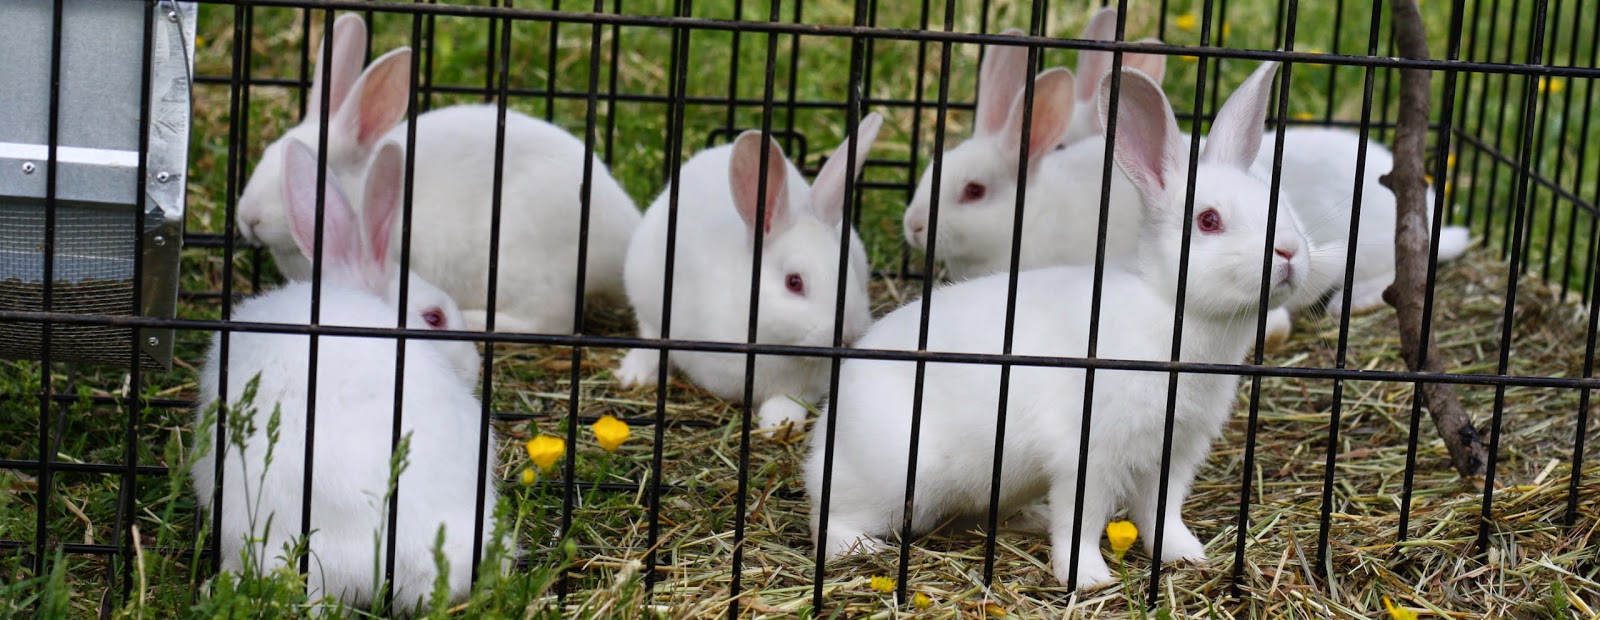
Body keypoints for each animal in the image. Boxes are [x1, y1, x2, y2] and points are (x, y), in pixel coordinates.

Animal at [615, 115, 882, 431]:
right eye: (794, 282)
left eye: (851, 271)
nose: (850, 335)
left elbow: (787, 400)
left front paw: (779, 424)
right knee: (650, 334)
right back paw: (635, 374)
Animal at [806, 62, 1327, 589]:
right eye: (1209, 220)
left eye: (1278, 204)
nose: (1289, 252)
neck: (1169, 309)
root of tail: (826, 435)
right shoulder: (1090, 454)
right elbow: (1083, 518)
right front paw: (1088, 578)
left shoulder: (1174, 454)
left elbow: (1162, 514)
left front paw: (1187, 556)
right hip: (897, 477)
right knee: (828, 520)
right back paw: (864, 547)